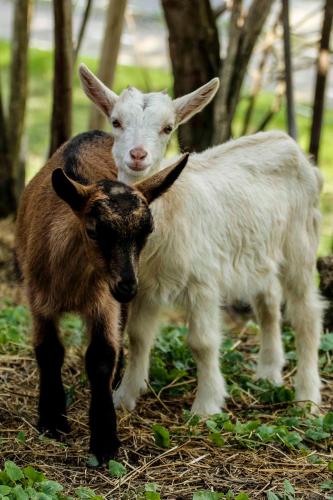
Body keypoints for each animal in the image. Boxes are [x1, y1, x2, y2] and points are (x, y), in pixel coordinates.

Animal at [15, 130, 188, 464]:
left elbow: (101, 356)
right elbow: (49, 350)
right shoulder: (38, 297)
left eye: (147, 232)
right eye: (94, 230)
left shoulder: (104, 302)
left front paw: (105, 441)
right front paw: (52, 421)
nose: (128, 286)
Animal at [78, 64, 322, 414]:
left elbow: (202, 343)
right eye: (116, 121)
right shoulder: (145, 284)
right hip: (258, 251)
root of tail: (289, 143)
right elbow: (138, 336)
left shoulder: (204, 281)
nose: (138, 155)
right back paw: (268, 372)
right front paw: (124, 397)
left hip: (301, 241)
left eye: (167, 128)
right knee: (268, 302)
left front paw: (205, 406)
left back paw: (307, 397)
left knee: (306, 314)